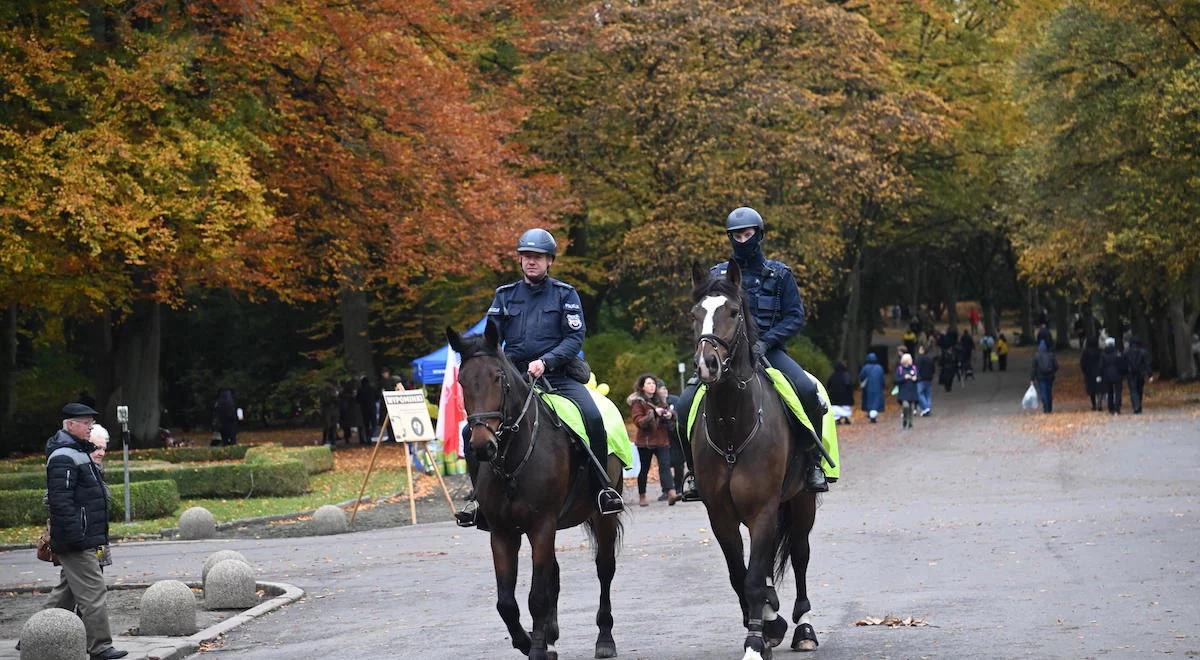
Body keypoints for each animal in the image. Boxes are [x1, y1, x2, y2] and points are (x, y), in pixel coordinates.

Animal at [446, 324, 624, 660]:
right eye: (462, 381)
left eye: (498, 377)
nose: (482, 445)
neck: (514, 459)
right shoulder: (503, 533)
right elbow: (507, 602)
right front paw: (530, 641)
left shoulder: (542, 526)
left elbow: (537, 595)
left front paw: (538, 649)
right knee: (552, 574)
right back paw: (551, 633)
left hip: (602, 515)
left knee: (604, 569)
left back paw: (605, 638)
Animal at [691, 261, 820, 657]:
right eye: (694, 314)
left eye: (734, 312)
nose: (707, 364)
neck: (734, 426)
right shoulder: (720, 515)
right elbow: (741, 575)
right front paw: (766, 625)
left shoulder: (763, 510)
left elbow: (753, 578)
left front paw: (755, 641)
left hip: (801, 501)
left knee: (800, 554)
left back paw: (804, 628)